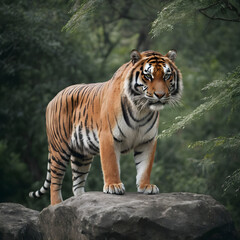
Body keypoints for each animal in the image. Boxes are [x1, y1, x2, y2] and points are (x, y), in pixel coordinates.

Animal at [28, 49, 182, 205]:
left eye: (167, 76)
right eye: (148, 76)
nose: (160, 95)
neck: (141, 109)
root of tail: (53, 99)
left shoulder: (147, 140)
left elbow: (145, 166)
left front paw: (146, 186)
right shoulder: (109, 136)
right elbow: (111, 164)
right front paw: (113, 186)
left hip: (81, 155)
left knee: (77, 183)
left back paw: (79, 201)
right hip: (59, 149)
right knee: (55, 181)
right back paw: (57, 204)